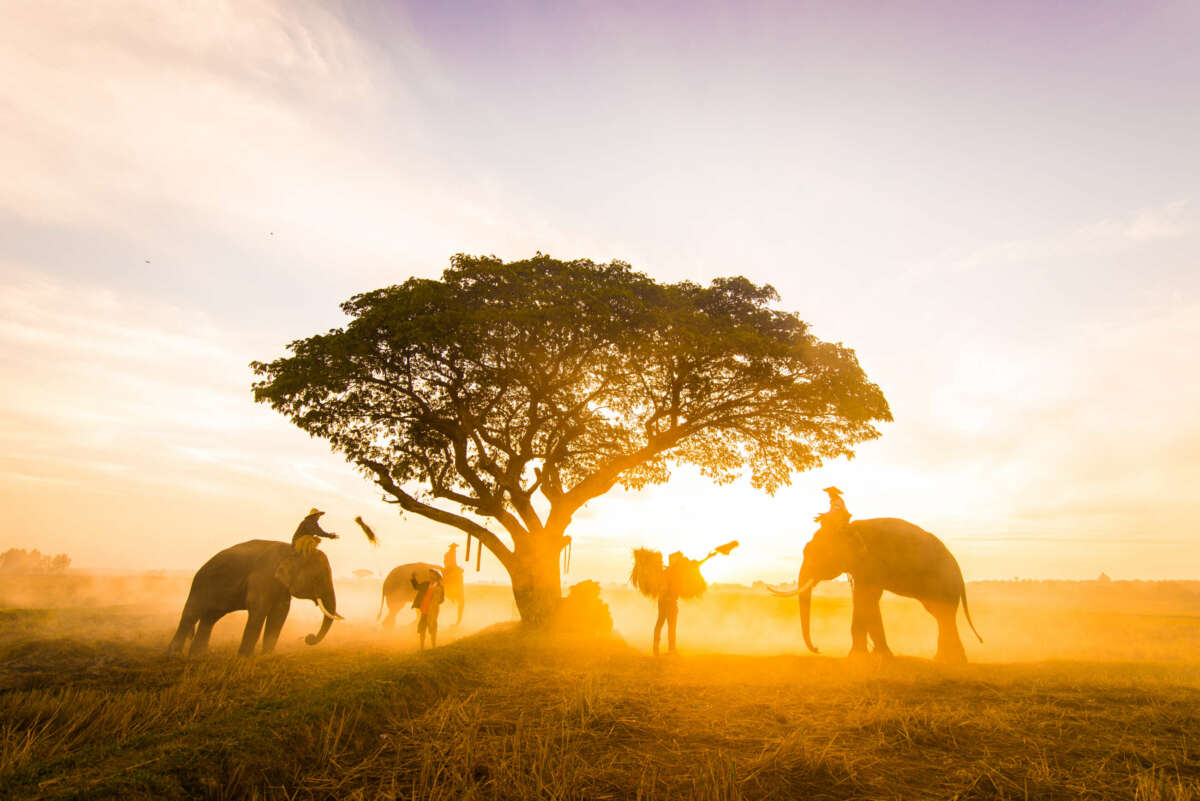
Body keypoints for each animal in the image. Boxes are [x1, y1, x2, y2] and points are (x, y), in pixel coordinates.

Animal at [168, 537, 343, 657]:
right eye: (317, 579)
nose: (308, 637)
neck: (292, 550)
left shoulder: (281, 586)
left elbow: (279, 615)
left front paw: (267, 656)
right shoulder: (263, 577)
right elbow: (259, 611)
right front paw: (244, 658)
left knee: (209, 620)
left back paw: (197, 656)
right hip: (200, 585)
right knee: (190, 616)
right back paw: (174, 655)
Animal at [768, 515, 984, 661]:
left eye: (817, 553)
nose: (818, 649)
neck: (850, 528)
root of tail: (958, 570)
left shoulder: (872, 562)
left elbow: (867, 597)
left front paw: (862, 657)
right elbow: (863, 599)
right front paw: (875, 656)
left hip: (942, 583)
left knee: (943, 615)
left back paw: (951, 661)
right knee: (941, 616)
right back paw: (946, 659)